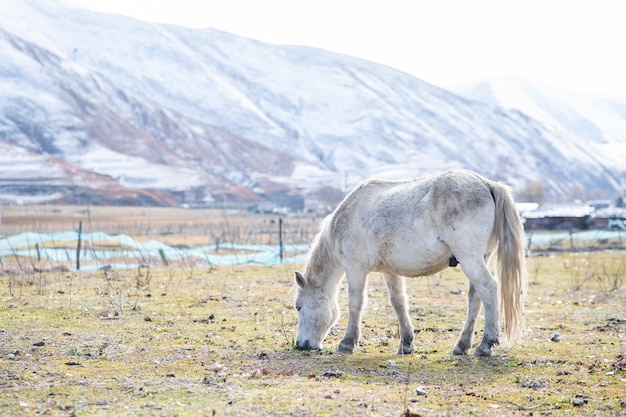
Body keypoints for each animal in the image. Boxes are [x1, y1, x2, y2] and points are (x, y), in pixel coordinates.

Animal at [294, 169, 528, 354]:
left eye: (298, 307)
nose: (300, 345)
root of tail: (487, 184)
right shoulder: (389, 271)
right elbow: (398, 302)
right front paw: (406, 344)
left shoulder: (355, 268)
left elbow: (355, 303)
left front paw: (347, 343)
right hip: (480, 259)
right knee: (476, 297)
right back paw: (462, 345)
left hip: (470, 259)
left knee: (488, 289)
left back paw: (485, 345)